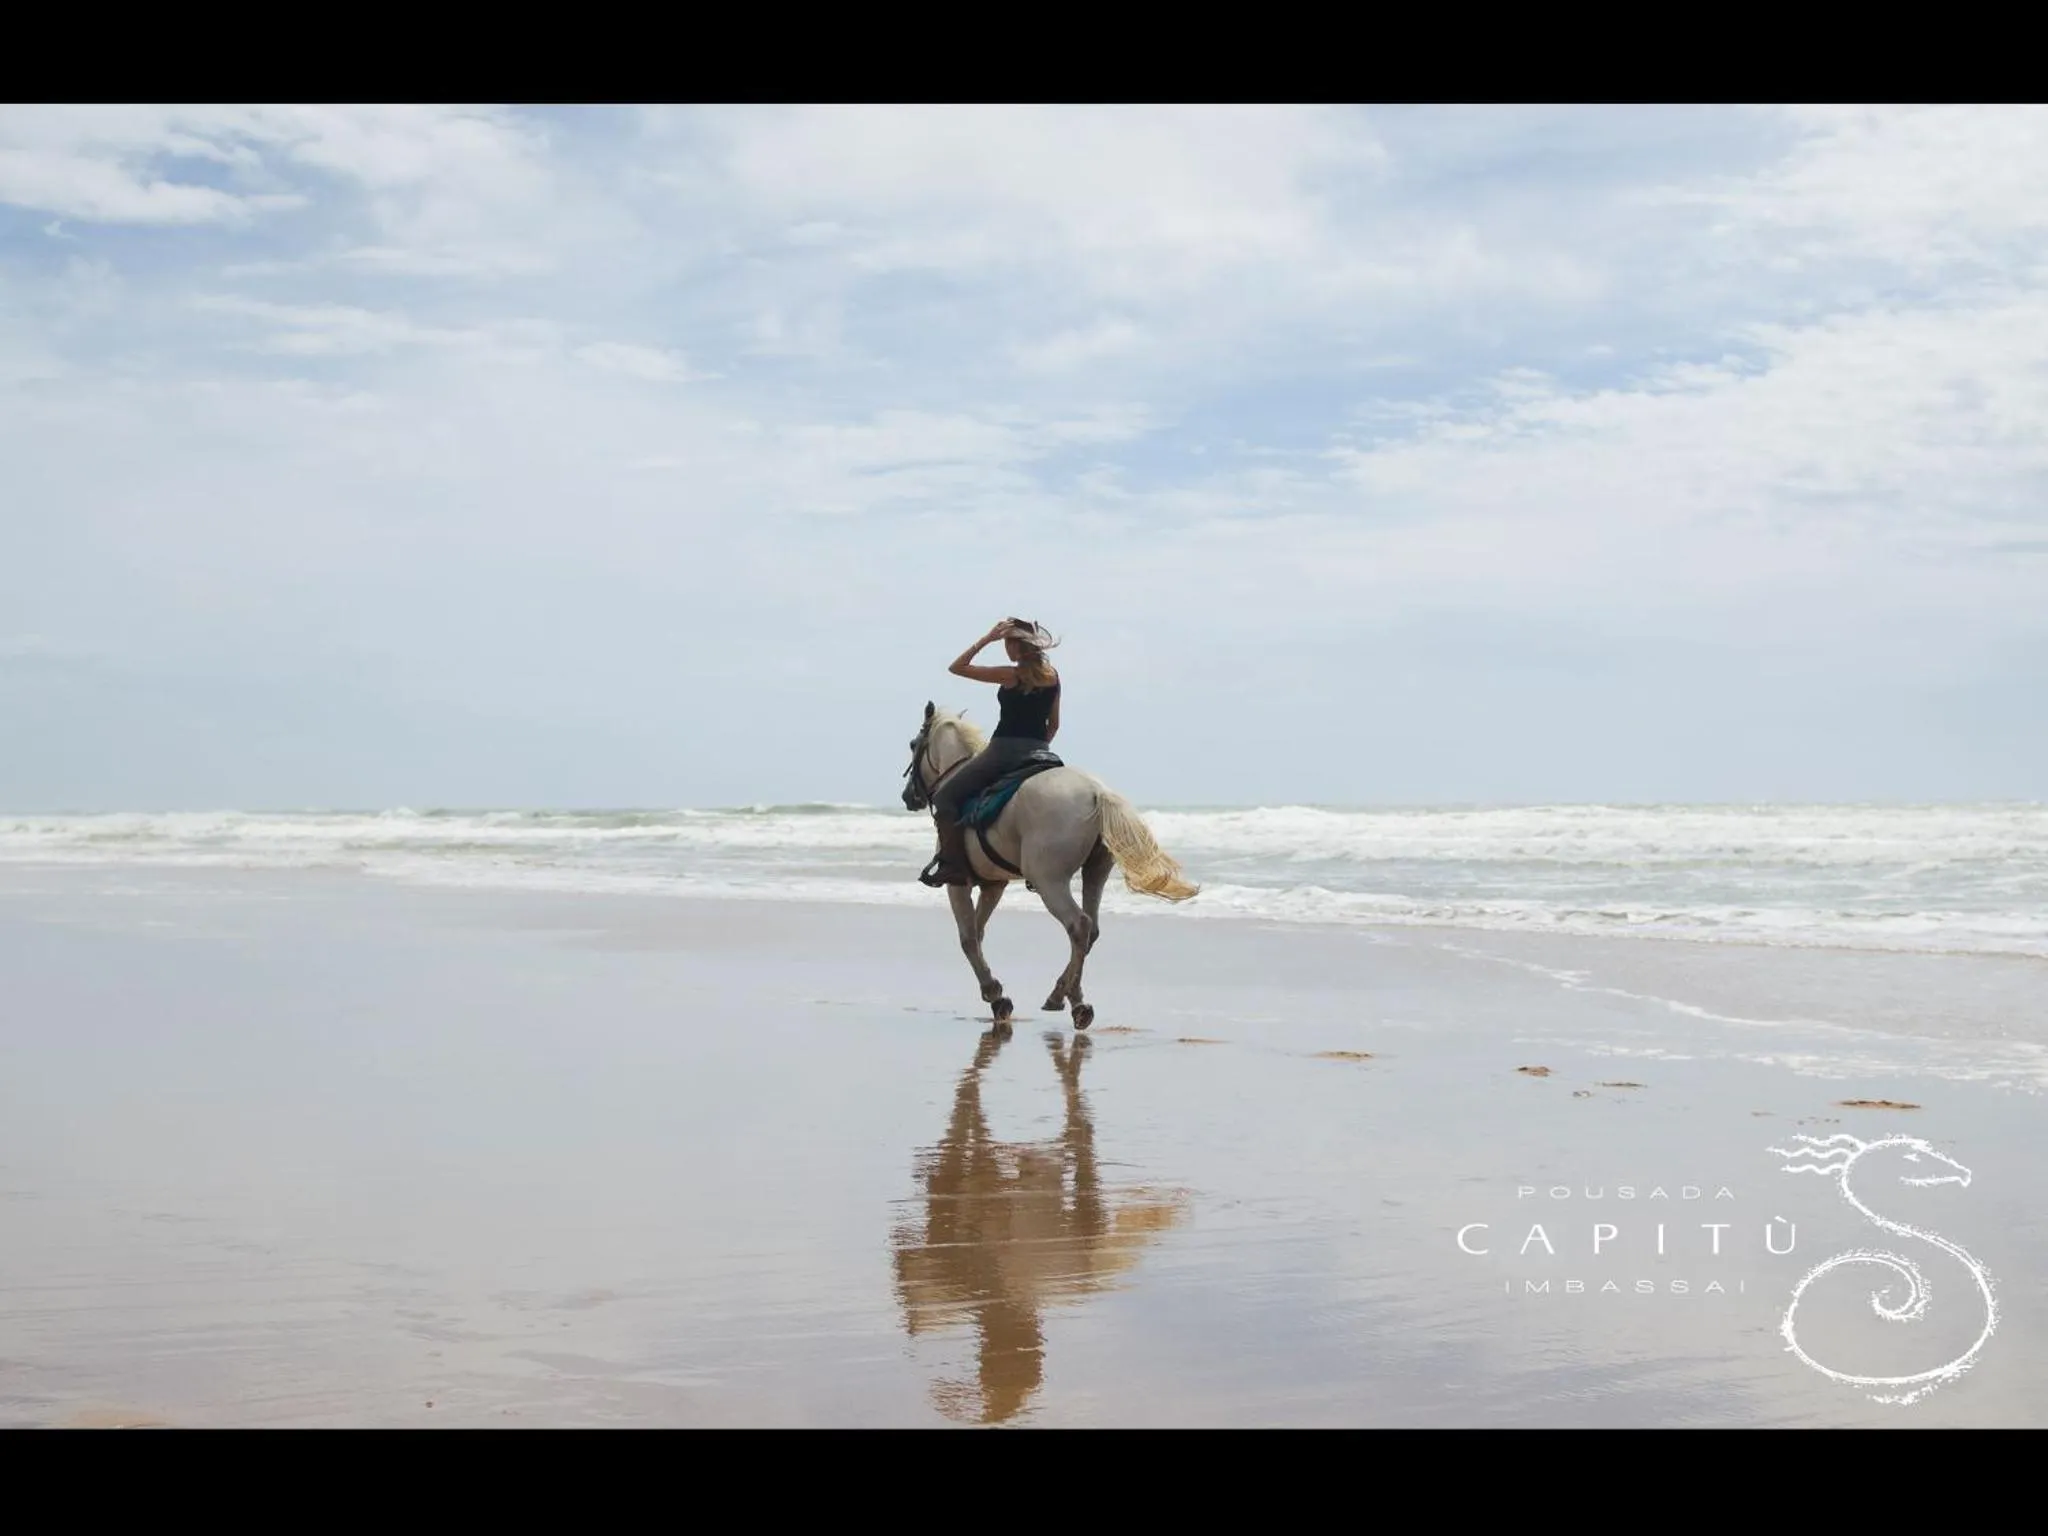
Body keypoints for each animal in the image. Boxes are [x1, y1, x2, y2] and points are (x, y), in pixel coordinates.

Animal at [901, 701, 1198, 1029]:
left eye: (913, 744)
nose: (908, 796)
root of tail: (1096, 792)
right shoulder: (994, 885)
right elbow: (977, 934)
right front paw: (994, 992)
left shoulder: (958, 884)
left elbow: (967, 939)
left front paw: (995, 994)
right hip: (1095, 872)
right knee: (1090, 929)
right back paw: (1074, 999)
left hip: (1048, 880)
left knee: (1078, 925)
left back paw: (1060, 997)